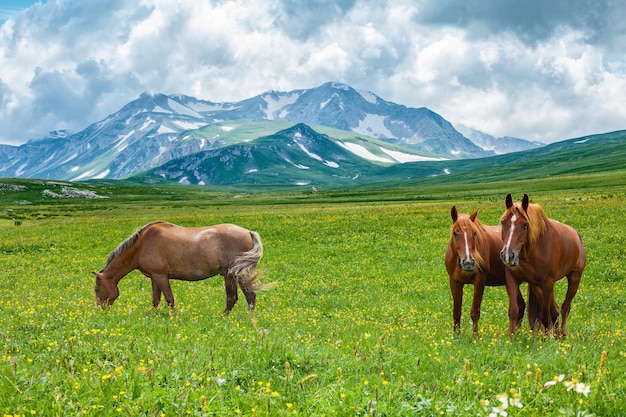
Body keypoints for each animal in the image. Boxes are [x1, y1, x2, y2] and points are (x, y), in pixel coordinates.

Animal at [92, 221, 266, 312]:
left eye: (96, 289)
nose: (100, 309)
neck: (142, 245)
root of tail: (248, 232)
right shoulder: (154, 277)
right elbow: (156, 299)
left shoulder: (161, 276)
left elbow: (169, 299)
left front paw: (174, 318)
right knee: (250, 296)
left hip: (230, 274)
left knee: (232, 297)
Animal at [444, 206, 528, 334]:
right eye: (455, 233)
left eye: (474, 233)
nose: (468, 262)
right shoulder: (455, 282)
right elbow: (456, 312)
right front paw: (456, 336)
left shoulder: (479, 281)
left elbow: (475, 312)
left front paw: (475, 336)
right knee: (521, 305)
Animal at [498, 194, 584, 334]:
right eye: (503, 222)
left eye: (525, 224)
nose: (507, 255)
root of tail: (576, 234)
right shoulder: (512, 279)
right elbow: (514, 311)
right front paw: (512, 337)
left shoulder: (547, 282)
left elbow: (544, 315)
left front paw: (548, 336)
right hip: (537, 285)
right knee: (554, 309)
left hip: (574, 278)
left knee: (565, 307)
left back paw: (562, 334)